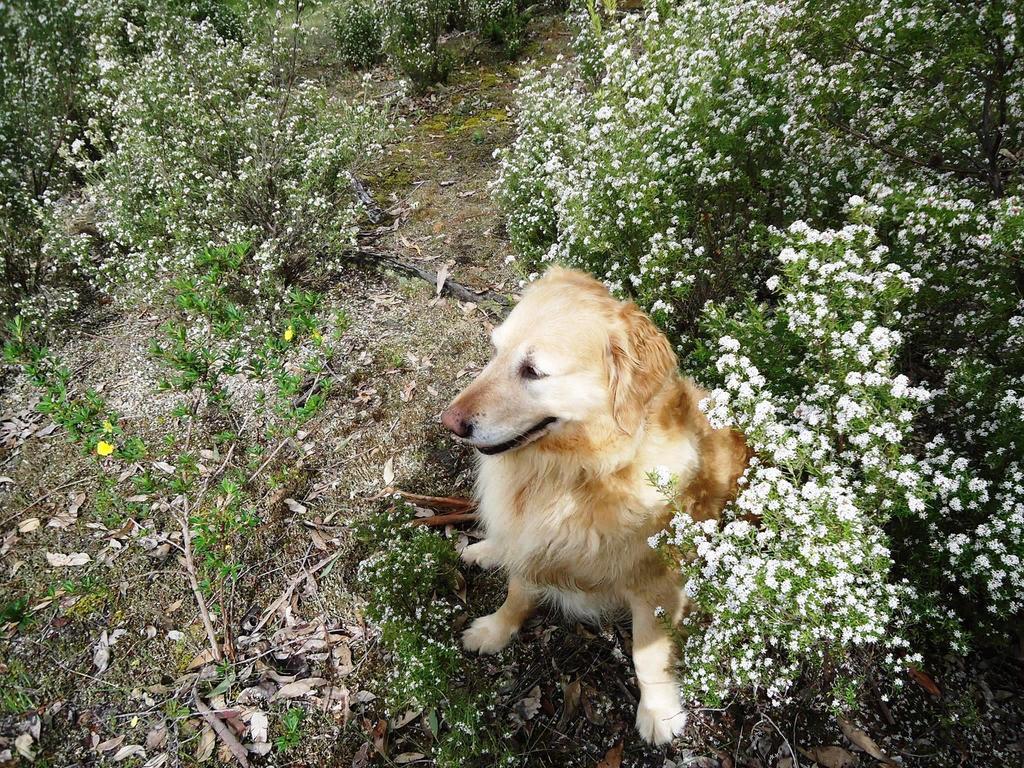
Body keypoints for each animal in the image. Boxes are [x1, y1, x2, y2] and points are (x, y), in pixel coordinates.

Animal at [436, 268, 749, 745]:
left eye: (534, 371)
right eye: (496, 350)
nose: (450, 422)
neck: (576, 472)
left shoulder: (655, 584)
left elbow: (646, 655)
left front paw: (659, 711)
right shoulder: (531, 542)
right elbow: (517, 592)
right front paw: (495, 629)